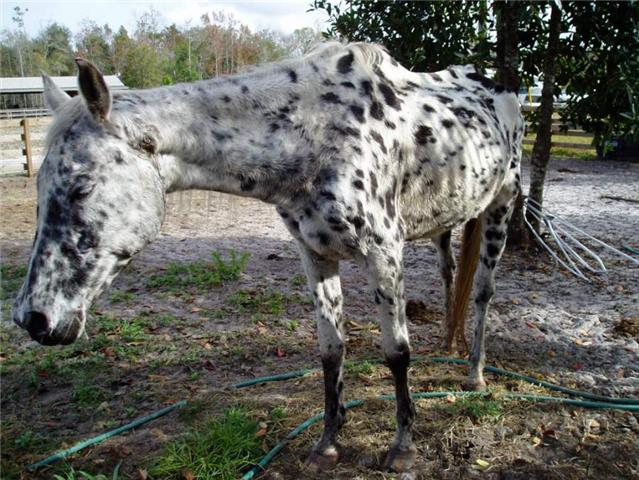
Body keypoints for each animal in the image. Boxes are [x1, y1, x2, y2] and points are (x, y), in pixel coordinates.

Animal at [13, 44, 524, 472]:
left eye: (81, 186)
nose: (32, 318)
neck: (318, 135)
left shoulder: (383, 252)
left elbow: (396, 353)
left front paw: (401, 449)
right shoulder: (315, 254)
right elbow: (331, 350)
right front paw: (327, 444)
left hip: (501, 205)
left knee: (482, 292)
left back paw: (475, 375)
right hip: (446, 220)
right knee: (450, 273)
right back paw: (449, 344)